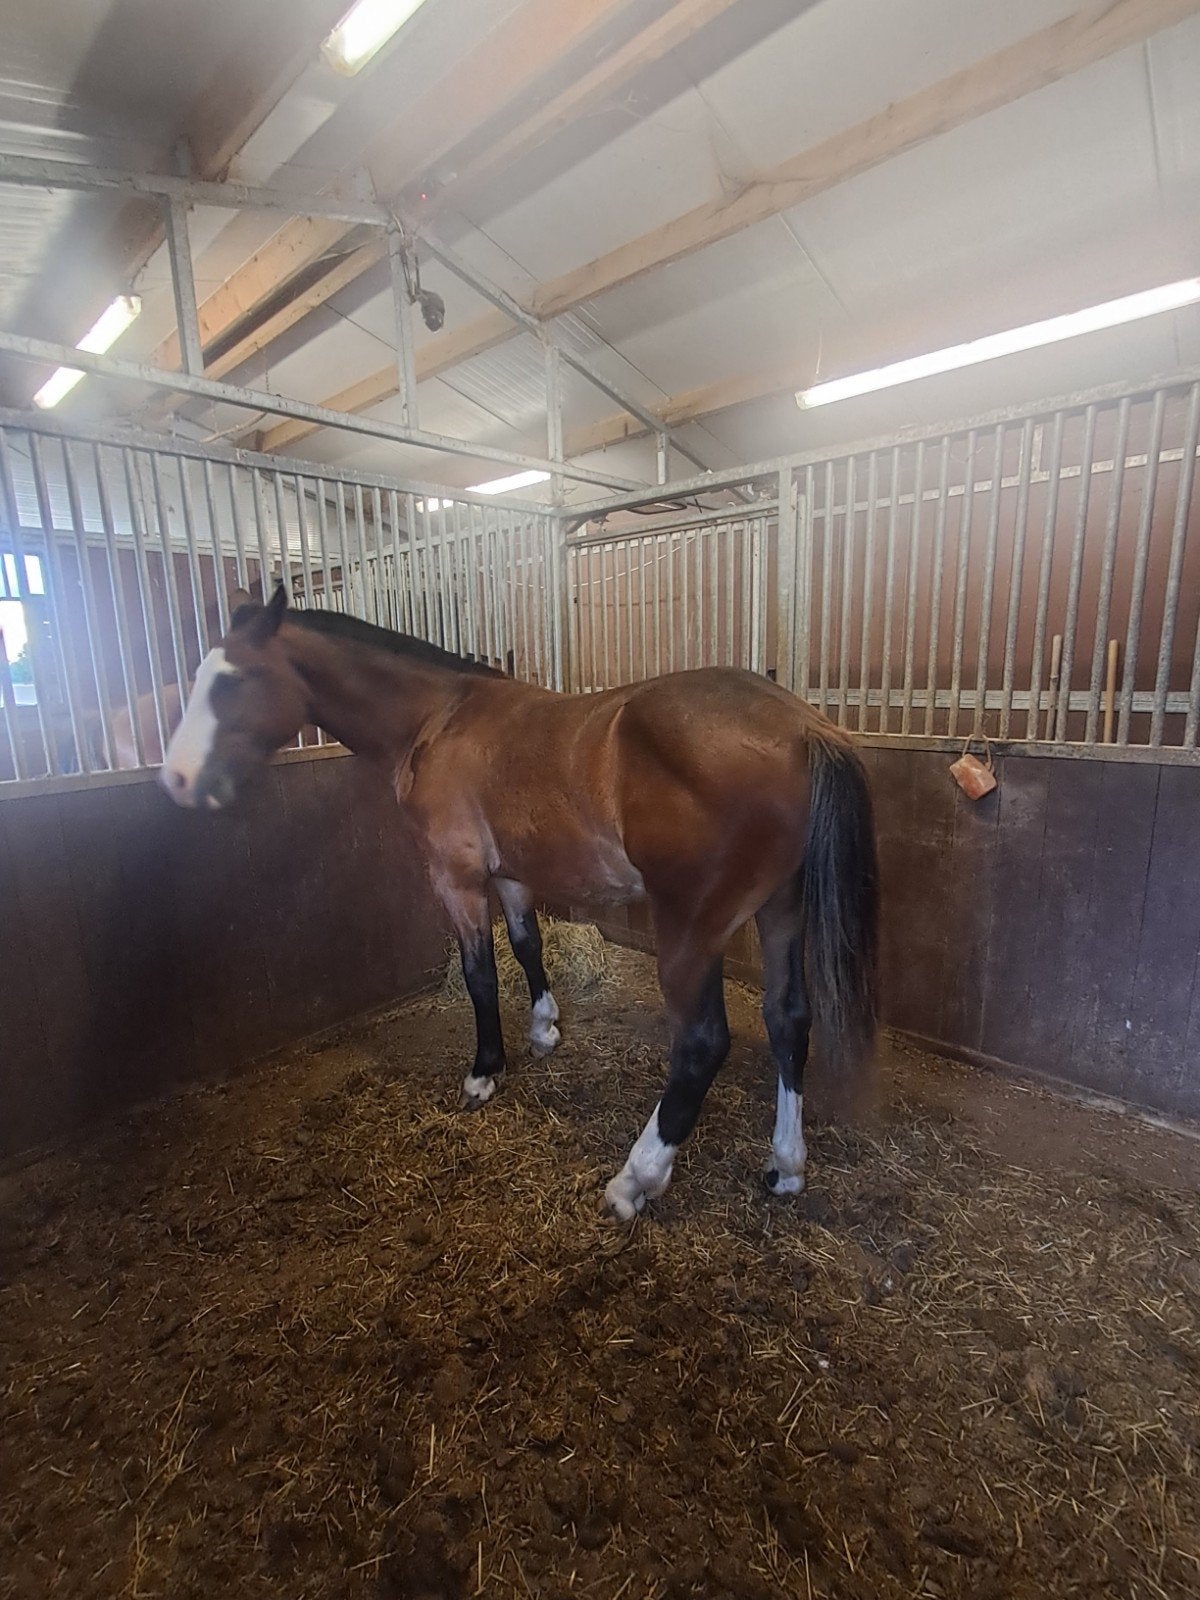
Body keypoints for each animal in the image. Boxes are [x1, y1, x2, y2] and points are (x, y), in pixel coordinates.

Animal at [159, 585, 878, 1219]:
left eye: (233, 681)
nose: (177, 779)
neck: (436, 717)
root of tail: (803, 728)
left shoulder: (455, 877)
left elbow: (479, 973)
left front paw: (484, 1072)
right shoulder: (510, 873)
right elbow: (528, 944)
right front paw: (544, 1029)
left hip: (692, 930)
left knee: (702, 1045)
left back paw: (636, 1179)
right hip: (780, 912)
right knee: (788, 1020)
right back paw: (785, 1165)